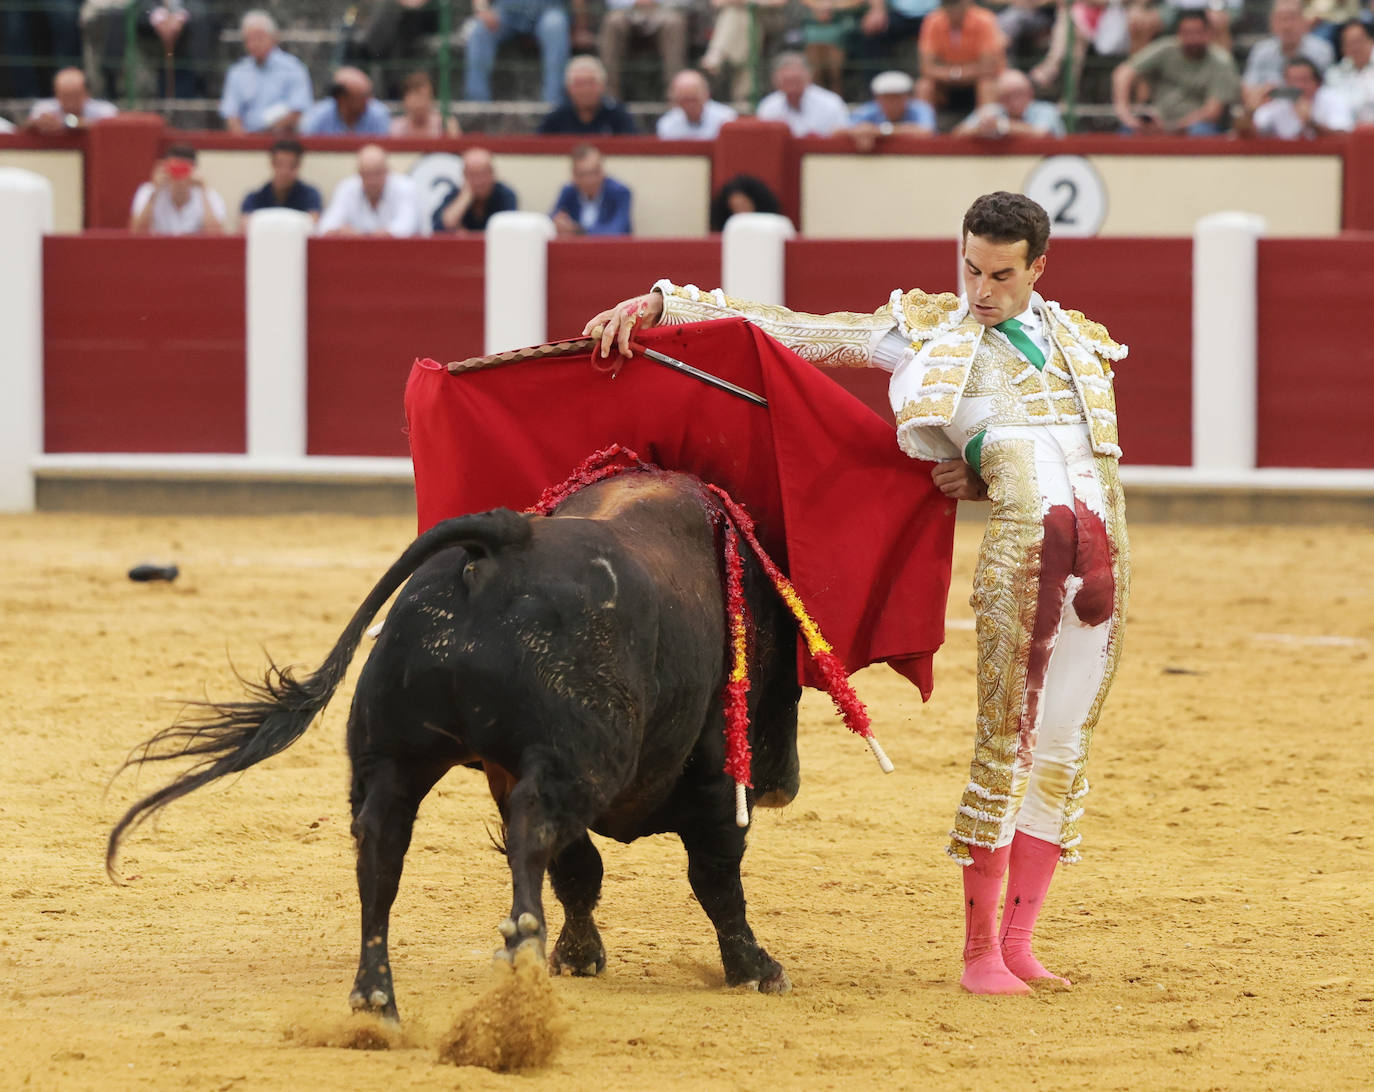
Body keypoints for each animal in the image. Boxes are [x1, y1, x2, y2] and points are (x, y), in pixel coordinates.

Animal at [112, 464, 807, 1021]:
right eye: (793, 686)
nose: (784, 785)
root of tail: (505, 541)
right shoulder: (715, 772)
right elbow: (712, 875)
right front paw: (755, 970)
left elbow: (583, 871)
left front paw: (580, 956)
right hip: (572, 762)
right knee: (531, 835)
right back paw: (517, 965)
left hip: (392, 755)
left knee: (381, 848)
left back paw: (376, 1000)